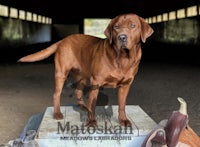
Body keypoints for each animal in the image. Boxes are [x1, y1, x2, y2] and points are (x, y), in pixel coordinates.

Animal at [18, 13, 153, 127]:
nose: (122, 37)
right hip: (61, 73)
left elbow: (122, 105)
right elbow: (93, 104)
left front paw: (123, 120)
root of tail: (63, 40)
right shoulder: (96, 82)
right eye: (116, 27)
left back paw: (83, 106)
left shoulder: (125, 85)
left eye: (132, 26)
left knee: (78, 91)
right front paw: (92, 122)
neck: (123, 58)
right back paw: (57, 113)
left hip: (82, 77)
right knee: (56, 94)